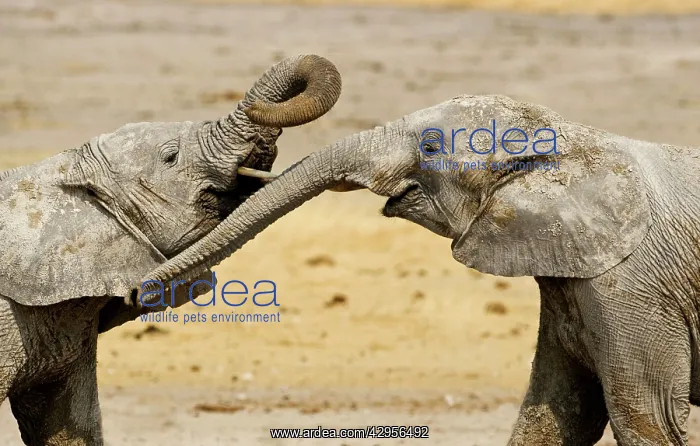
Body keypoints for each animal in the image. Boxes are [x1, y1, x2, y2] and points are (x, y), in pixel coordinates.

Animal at [136, 93, 700, 445]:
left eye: (429, 147)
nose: (135, 294)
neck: (577, 139)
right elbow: (557, 412)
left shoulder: (630, 282)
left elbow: (646, 417)